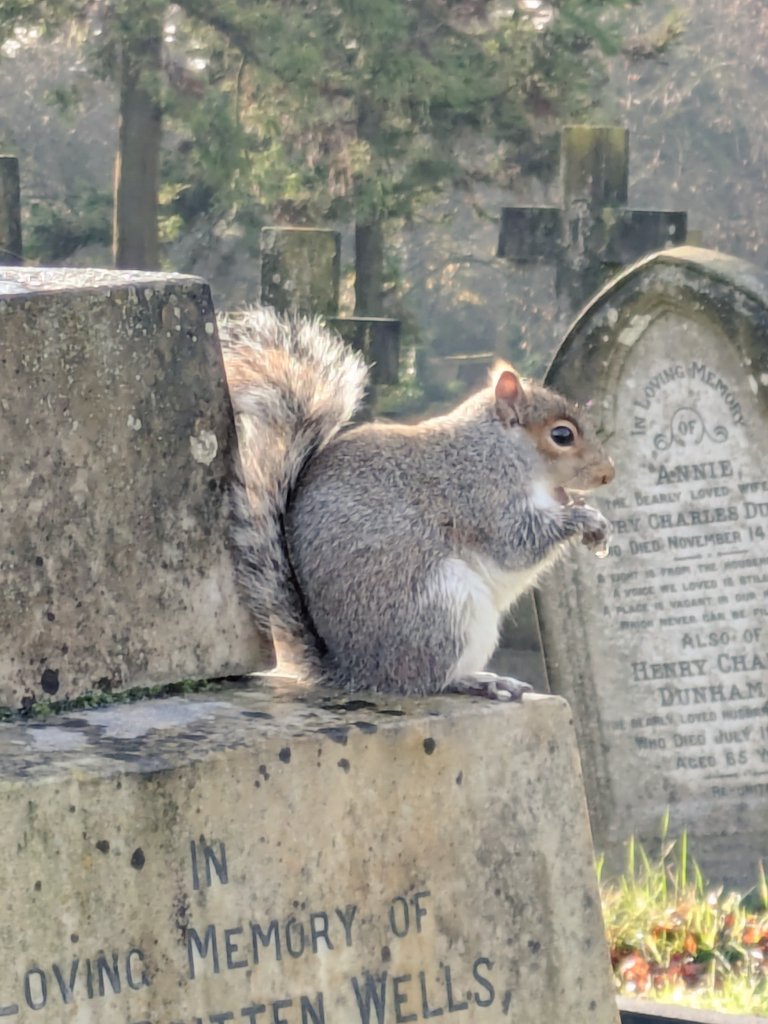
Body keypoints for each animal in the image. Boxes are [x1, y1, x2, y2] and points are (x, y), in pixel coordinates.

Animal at [220, 307, 614, 700]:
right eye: (561, 435)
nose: (608, 474)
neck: (498, 448)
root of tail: (356, 671)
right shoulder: (479, 495)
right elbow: (517, 544)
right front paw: (585, 519)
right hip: (445, 608)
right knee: (429, 680)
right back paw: (477, 681)